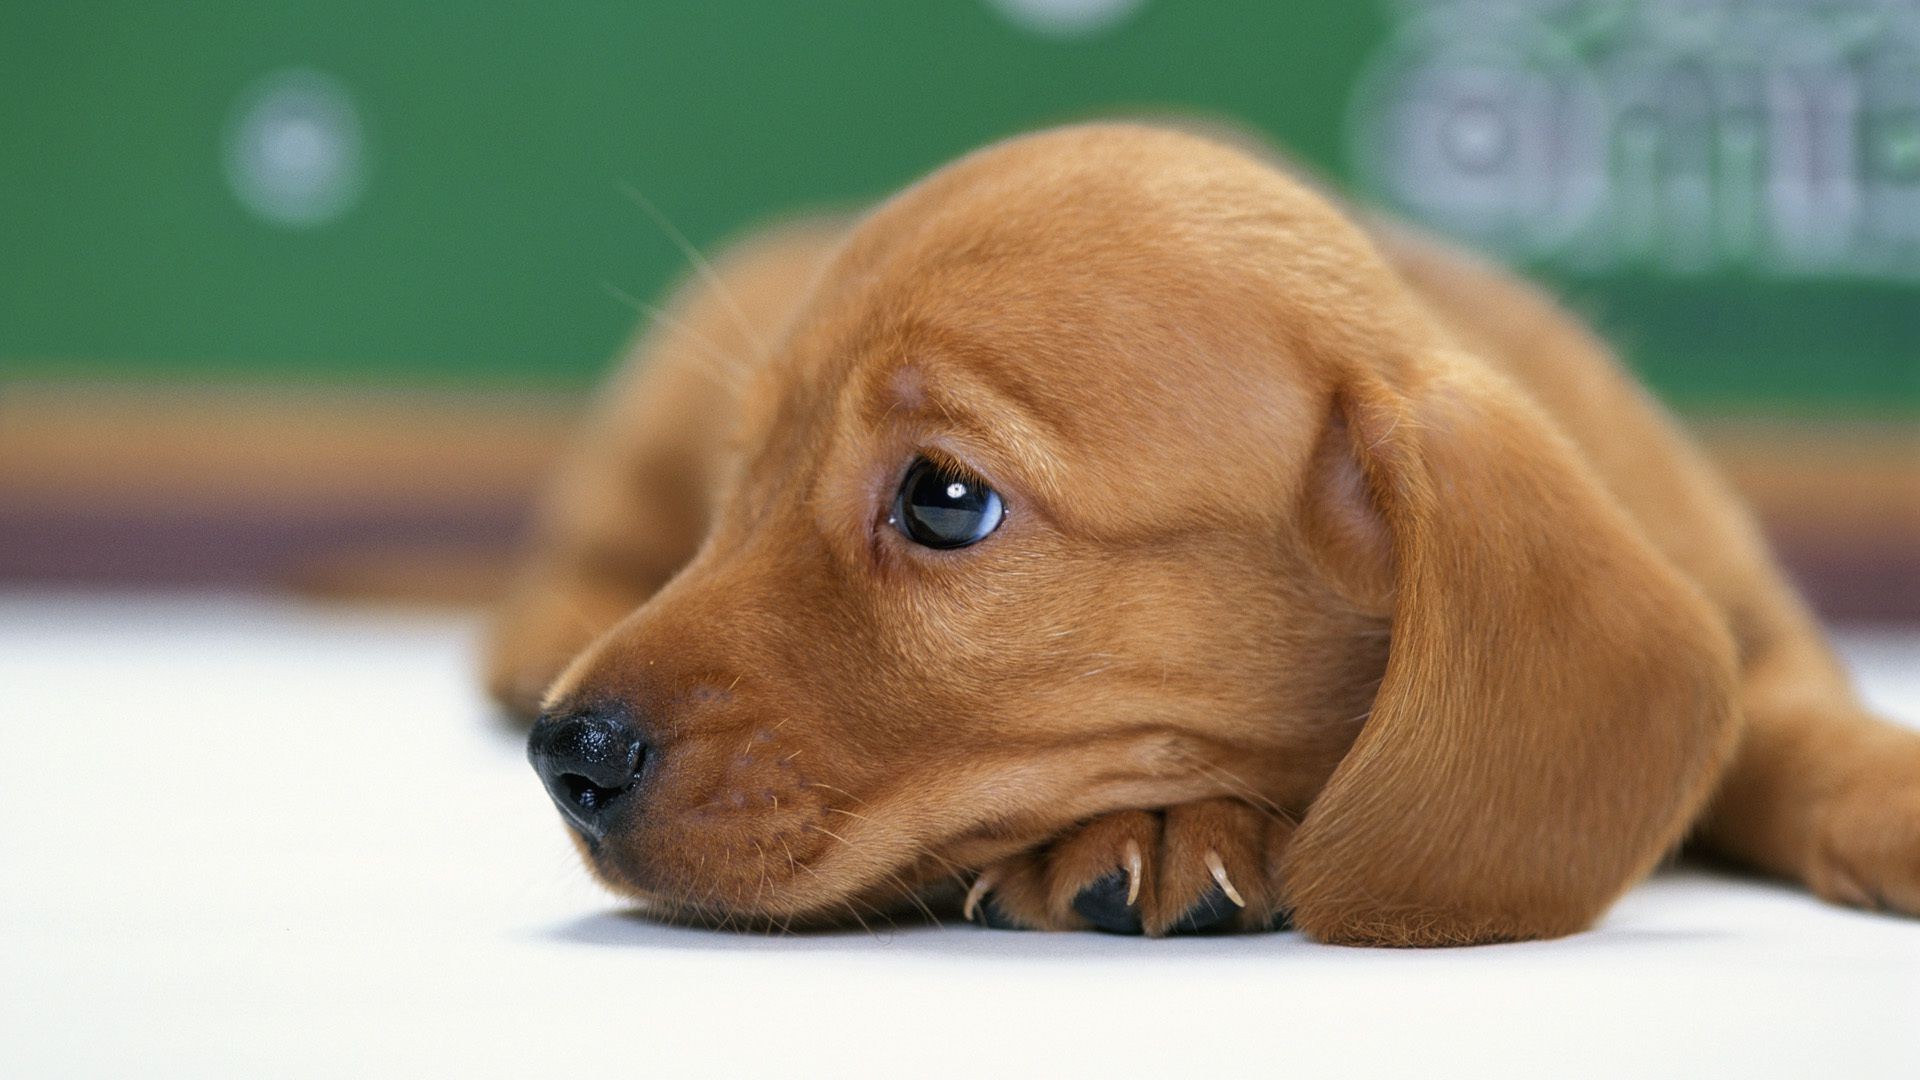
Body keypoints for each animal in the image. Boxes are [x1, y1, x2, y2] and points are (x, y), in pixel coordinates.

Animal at [487, 122, 1920, 937]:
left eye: (945, 498)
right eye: (746, 484)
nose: (569, 757)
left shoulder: (1754, 630)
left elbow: (1803, 734)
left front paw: (1890, 789)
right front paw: (1167, 829)